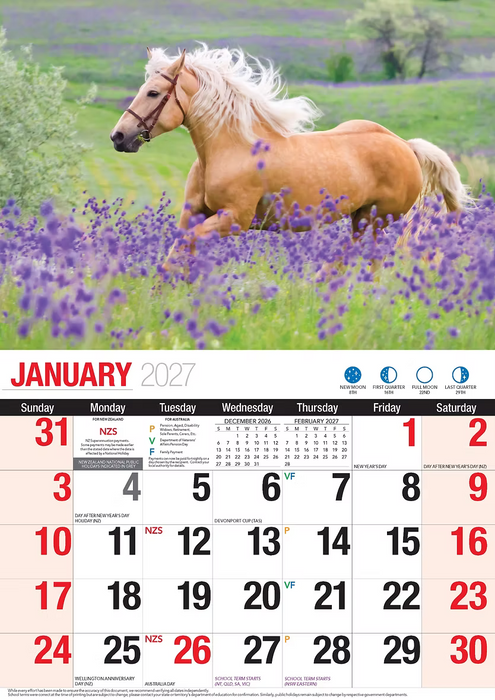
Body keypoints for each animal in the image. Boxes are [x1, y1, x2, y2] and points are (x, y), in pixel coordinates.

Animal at [110, 45, 471, 267]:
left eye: (153, 93)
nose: (119, 136)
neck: (230, 149)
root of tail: (405, 145)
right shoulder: (195, 214)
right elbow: (175, 255)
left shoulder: (234, 220)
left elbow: (188, 248)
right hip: (361, 219)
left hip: (376, 220)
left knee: (362, 259)